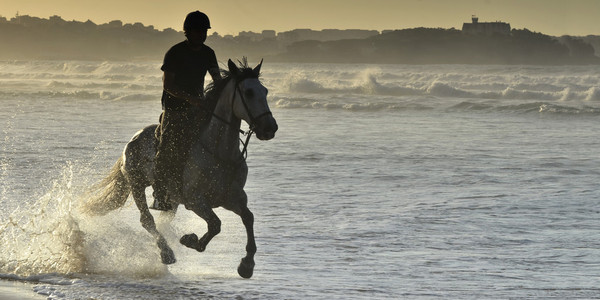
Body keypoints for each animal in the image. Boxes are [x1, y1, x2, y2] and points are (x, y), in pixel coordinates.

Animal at [83, 59, 278, 278]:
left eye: (265, 91)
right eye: (249, 92)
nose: (270, 128)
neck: (220, 153)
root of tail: (133, 139)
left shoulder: (232, 197)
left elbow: (248, 218)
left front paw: (247, 265)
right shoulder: (196, 200)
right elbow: (216, 224)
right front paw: (190, 240)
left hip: (170, 199)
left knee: (161, 220)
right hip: (136, 184)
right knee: (147, 220)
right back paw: (166, 253)